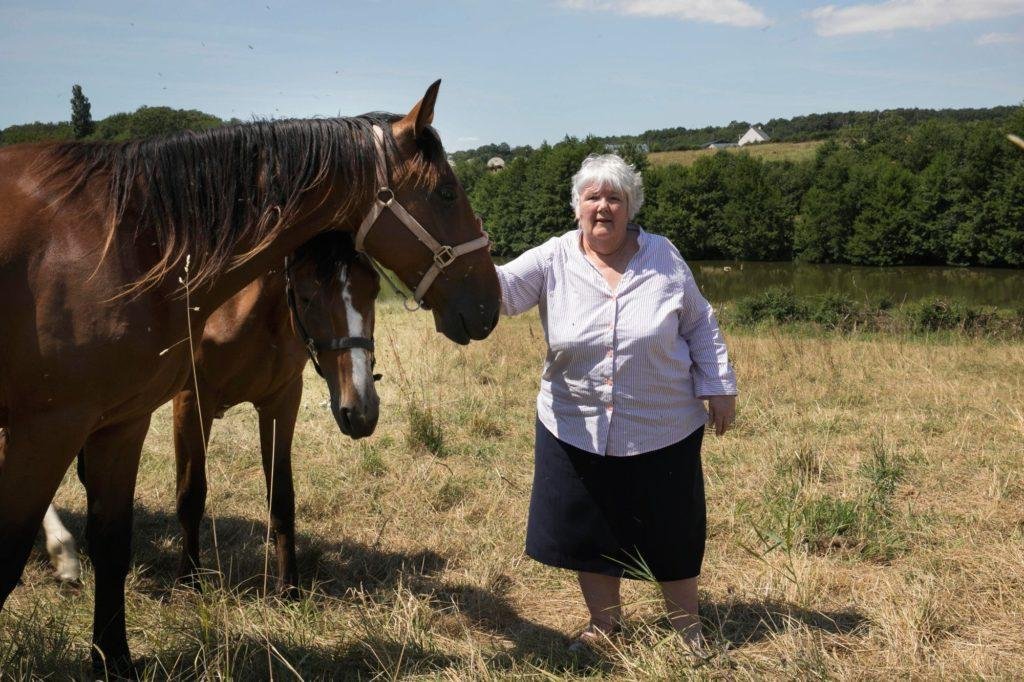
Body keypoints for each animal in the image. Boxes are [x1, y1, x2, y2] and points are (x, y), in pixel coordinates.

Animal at [0, 80, 497, 675]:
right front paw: (190, 583)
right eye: (446, 193)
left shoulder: (275, 401)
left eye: (372, 290)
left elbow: (279, 497)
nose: (488, 305)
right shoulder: (173, 406)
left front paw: (289, 589)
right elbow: (190, 493)